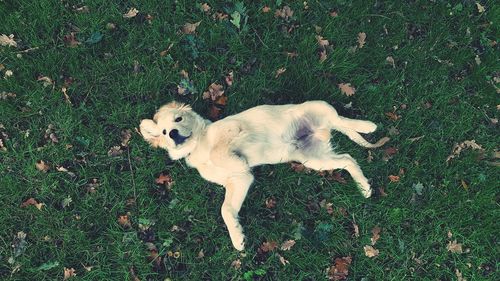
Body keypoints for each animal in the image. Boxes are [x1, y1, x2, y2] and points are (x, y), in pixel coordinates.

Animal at [139, 100, 388, 249]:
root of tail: (320, 130)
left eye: (178, 119)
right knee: (348, 158)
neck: (199, 145)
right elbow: (226, 210)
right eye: (163, 132)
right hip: (313, 158)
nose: (172, 133)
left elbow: (221, 151)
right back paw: (364, 187)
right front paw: (237, 237)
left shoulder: (234, 130)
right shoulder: (239, 179)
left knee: (341, 120)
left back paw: (368, 126)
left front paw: (233, 157)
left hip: (319, 109)